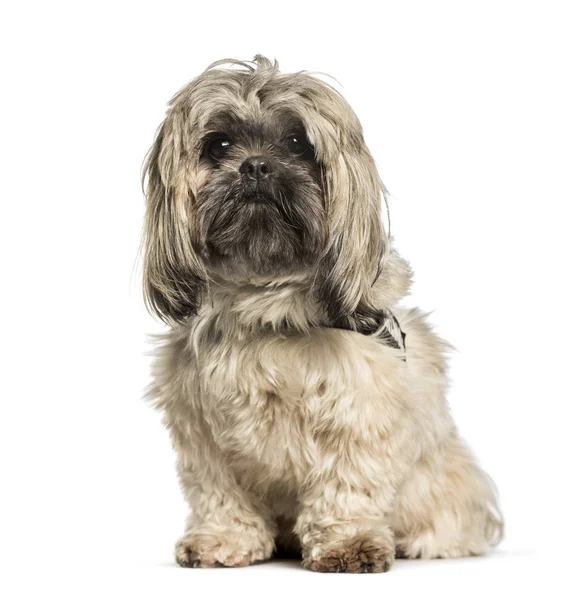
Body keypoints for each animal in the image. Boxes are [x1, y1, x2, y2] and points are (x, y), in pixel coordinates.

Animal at [143, 55, 506, 572]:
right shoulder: (201, 430)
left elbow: (347, 485)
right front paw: (223, 539)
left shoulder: (357, 411)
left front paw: (348, 543)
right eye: (219, 145)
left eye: (298, 143)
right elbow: (218, 491)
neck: (264, 305)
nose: (256, 166)